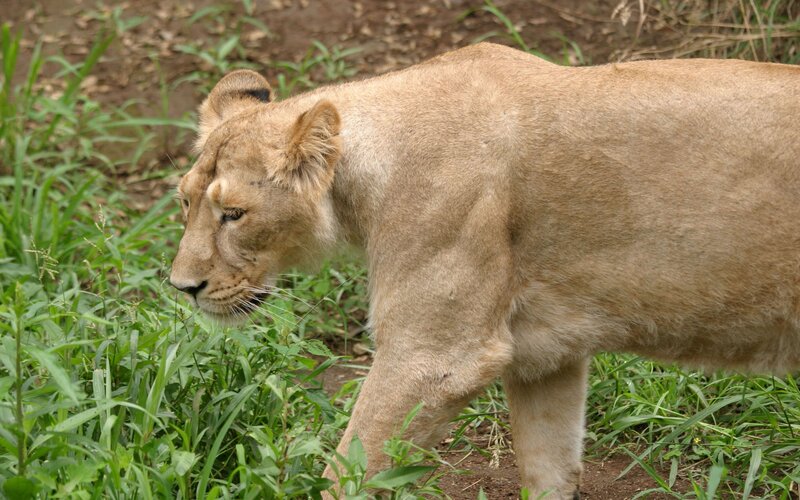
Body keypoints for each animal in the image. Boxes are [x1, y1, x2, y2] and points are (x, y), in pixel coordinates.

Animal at [169, 43, 800, 498]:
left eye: (234, 214)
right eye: (184, 201)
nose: (182, 287)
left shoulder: (436, 358)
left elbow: (349, 473)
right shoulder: (547, 357)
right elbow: (549, 469)